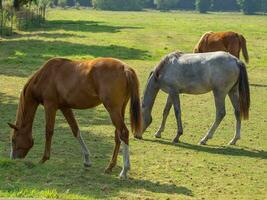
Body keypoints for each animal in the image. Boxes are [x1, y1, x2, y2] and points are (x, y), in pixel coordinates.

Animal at [7, 57, 142, 179]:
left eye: (13, 140)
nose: (13, 158)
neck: (45, 76)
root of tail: (125, 68)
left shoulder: (50, 106)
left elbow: (49, 131)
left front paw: (44, 159)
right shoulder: (65, 107)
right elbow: (75, 130)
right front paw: (87, 160)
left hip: (113, 110)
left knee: (123, 133)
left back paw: (124, 170)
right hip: (119, 110)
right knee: (118, 135)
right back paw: (110, 167)